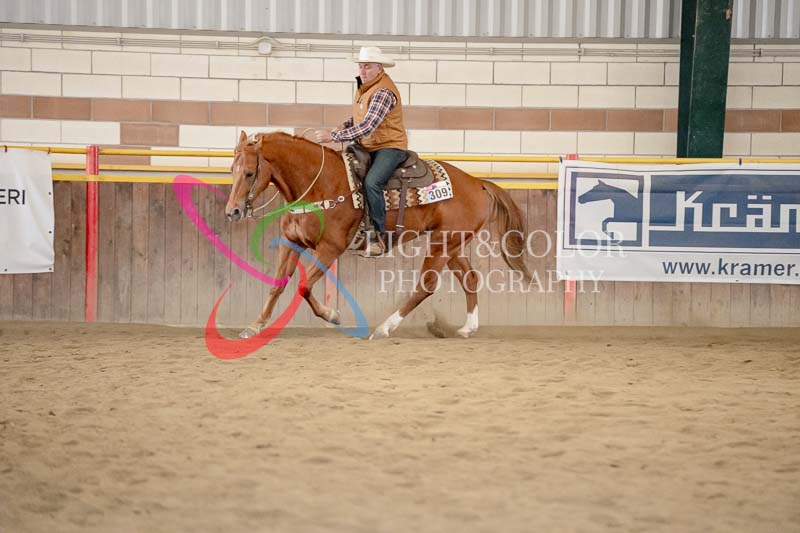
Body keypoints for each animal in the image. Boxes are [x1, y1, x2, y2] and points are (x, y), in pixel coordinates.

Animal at [225, 130, 531, 340]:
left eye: (250, 173)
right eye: (232, 169)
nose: (233, 211)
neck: (319, 185)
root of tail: (477, 183)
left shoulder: (329, 248)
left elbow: (303, 287)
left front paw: (332, 315)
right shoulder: (291, 243)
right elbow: (277, 285)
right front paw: (255, 325)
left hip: (442, 245)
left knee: (425, 286)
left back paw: (385, 327)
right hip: (452, 244)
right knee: (470, 278)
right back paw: (468, 327)